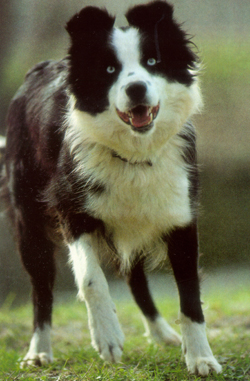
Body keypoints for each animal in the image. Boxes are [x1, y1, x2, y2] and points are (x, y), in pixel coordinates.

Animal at [2, 0, 222, 374]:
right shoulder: (72, 209)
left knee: (135, 277)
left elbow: (190, 293)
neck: (134, 155)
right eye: (109, 69)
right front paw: (107, 337)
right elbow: (91, 279)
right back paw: (38, 351)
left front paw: (201, 357)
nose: (136, 89)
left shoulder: (179, 215)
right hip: (28, 219)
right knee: (41, 288)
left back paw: (162, 333)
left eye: (152, 62)